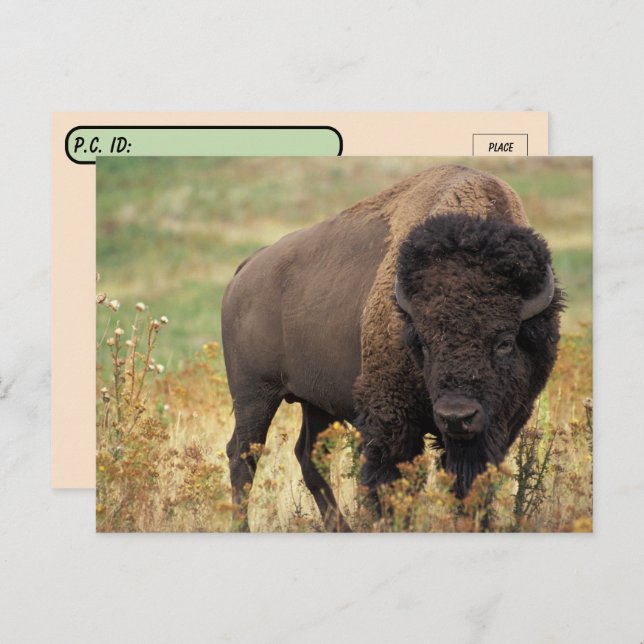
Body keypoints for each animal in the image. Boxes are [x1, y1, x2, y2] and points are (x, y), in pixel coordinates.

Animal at [222, 164, 563, 531]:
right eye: (423, 342)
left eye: (504, 342)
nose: (456, 416)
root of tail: (247, 269)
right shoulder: (391, 419)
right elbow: (390, 480)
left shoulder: (501, 424)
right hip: (254, 395)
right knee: (243, 455)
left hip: (315, 402)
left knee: (308, 455)